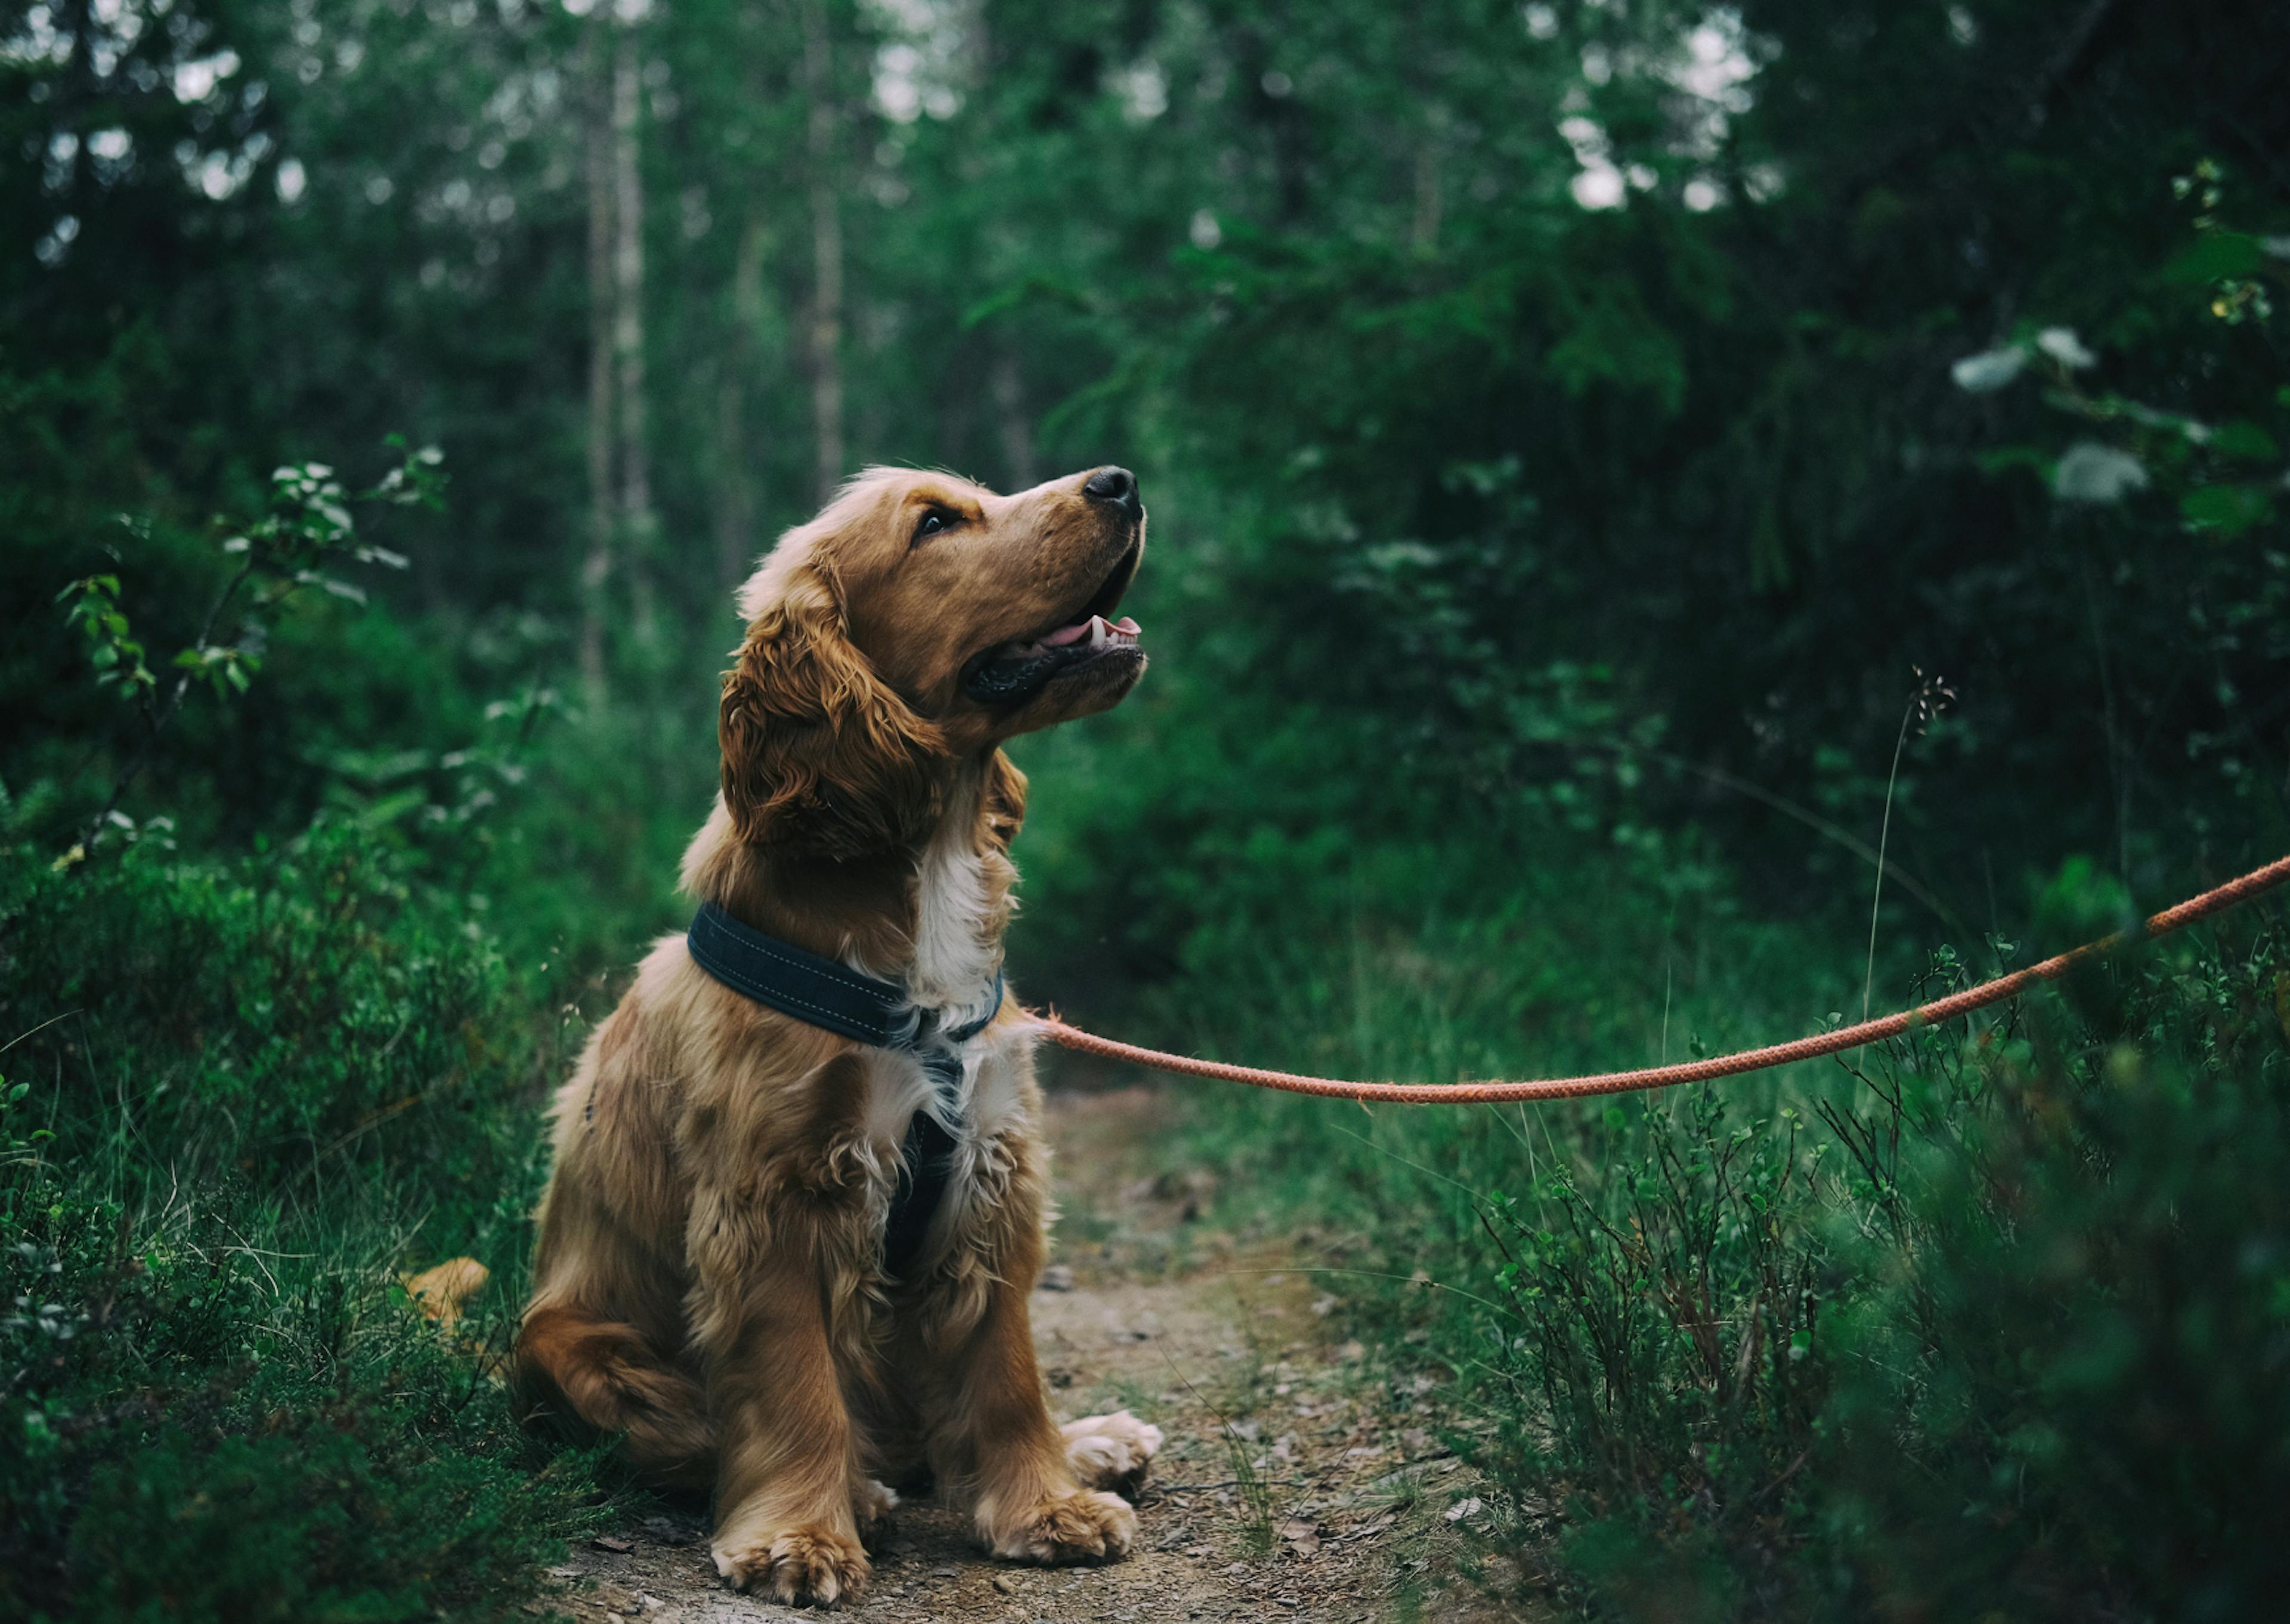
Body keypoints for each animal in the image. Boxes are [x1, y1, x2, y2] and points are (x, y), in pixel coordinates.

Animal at [517, 464, 1163, 1594]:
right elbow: (793, 1382)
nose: (1120, 480)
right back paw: (860, 1492)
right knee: (709, 1435)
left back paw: (1089, 1442)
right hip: (570, 1347)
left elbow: (1006, 1369)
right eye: (936, 522)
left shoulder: (990, 1167)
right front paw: (801, 1536)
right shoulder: (776, 1192)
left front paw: (1046, 1503)